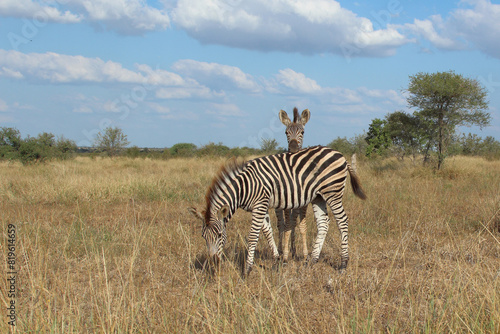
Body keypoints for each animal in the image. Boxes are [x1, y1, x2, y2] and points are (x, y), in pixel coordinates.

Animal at [189, 145, 366, 276]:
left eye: (220, 235)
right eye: (203, 236)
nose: (213, 264)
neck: (244, 187)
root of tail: (340, 154)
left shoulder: (260, 205)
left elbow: (253, 237)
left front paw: (247, 270)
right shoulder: (260, 206)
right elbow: (267, 232)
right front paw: (277, 261)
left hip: (332, 192)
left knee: (342, 221)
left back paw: (343, 264)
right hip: (319, 196)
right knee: (323, 223)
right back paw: (312, 260)